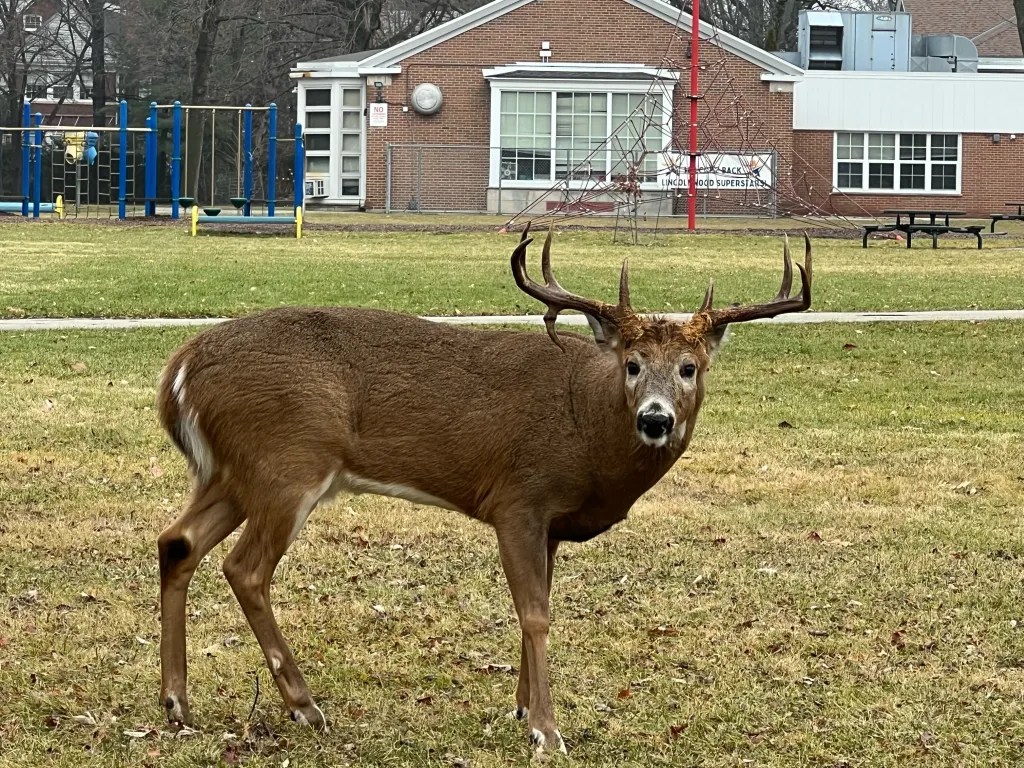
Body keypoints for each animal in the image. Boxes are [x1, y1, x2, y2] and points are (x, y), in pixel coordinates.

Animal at [155, 222, 812, 755]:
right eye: (632, 364)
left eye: (688, 367)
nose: (656, 419)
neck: (587, 427)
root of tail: (182, 366)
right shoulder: (519, 499)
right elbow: (535, 613)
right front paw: (546, 729)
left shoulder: (552, 524)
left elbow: (539, 606)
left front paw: (521, 706)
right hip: (286, 464)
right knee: (244, 568)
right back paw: (303, 705)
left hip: (232, 473)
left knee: (177, 542)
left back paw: (177, 704)